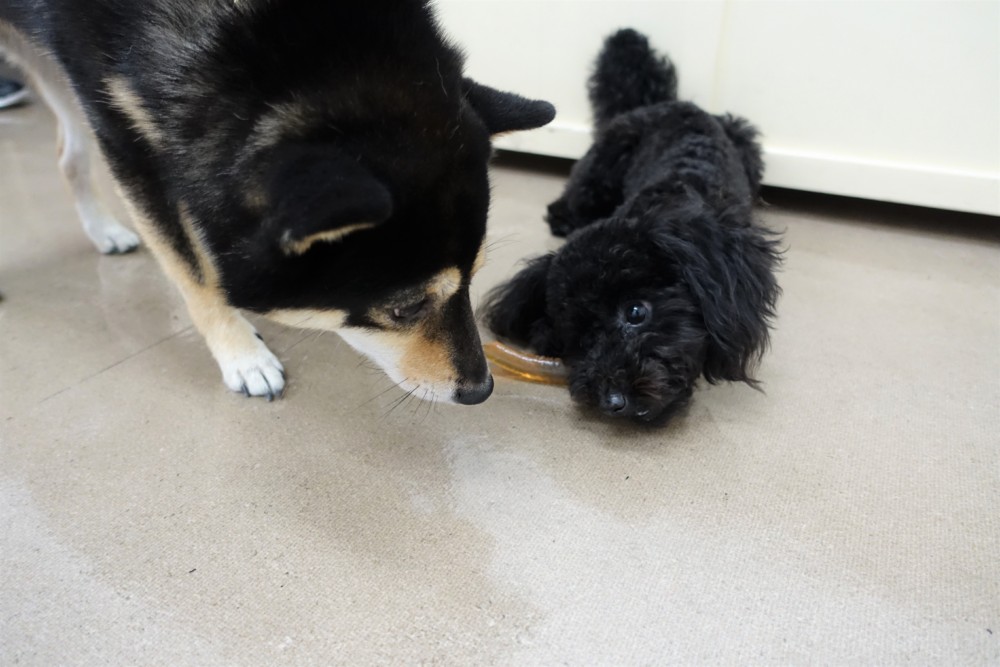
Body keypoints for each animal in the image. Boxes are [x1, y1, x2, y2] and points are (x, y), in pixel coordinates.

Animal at [0, 0, 554, 405]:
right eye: (405, 308)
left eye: (474, 278)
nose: (481, 390)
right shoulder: (125, 134)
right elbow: (194, 273)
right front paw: (242, 355)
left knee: (67, 155)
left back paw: (103, 230)